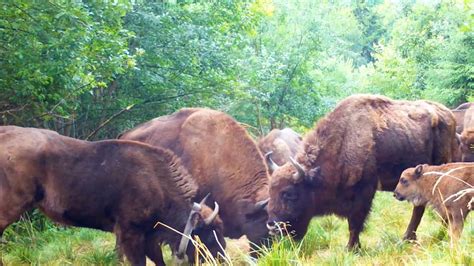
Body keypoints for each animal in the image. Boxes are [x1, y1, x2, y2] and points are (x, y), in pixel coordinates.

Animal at [266, 94, 456, 248]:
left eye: (289, 194)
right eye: (271, 192)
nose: (272, 226)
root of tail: (449, 115)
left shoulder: (364, 192)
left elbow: (355, 223)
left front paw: (351, 248)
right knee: (420, 207)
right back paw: (409, 238)